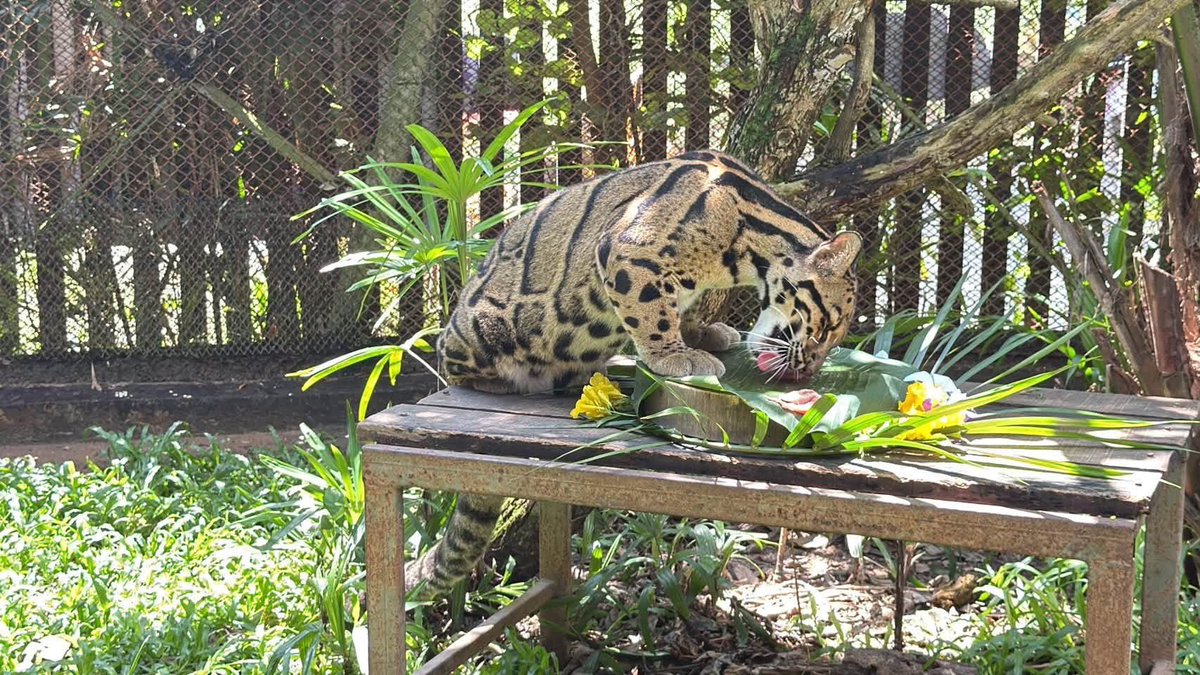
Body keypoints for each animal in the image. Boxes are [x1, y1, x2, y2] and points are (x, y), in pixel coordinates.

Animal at [406, 150, 862, 598]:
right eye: (826, 328)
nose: (806, 372)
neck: (745, 241)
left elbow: (682, 307)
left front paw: (700, 333)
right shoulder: (630, 251)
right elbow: (652, 312)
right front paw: (674, 354)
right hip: (488, 330)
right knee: (453, 361)